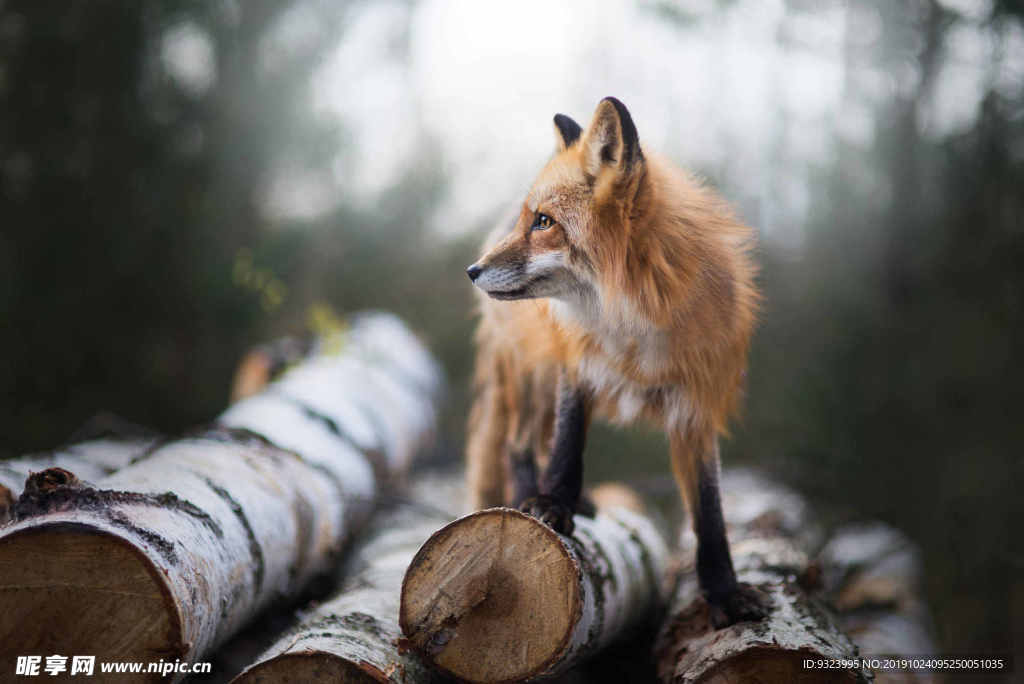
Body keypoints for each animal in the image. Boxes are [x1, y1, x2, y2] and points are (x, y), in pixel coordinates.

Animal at [468, 98, 765, 626]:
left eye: (543, 222)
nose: (472, 270)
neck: (634, 321)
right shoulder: (576, 366)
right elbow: (567, 446)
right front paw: (552, 504)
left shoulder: (696, 407)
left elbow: (709, 512)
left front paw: (725, 592)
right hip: (533, 374)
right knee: (520, 445)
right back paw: (531, 497)